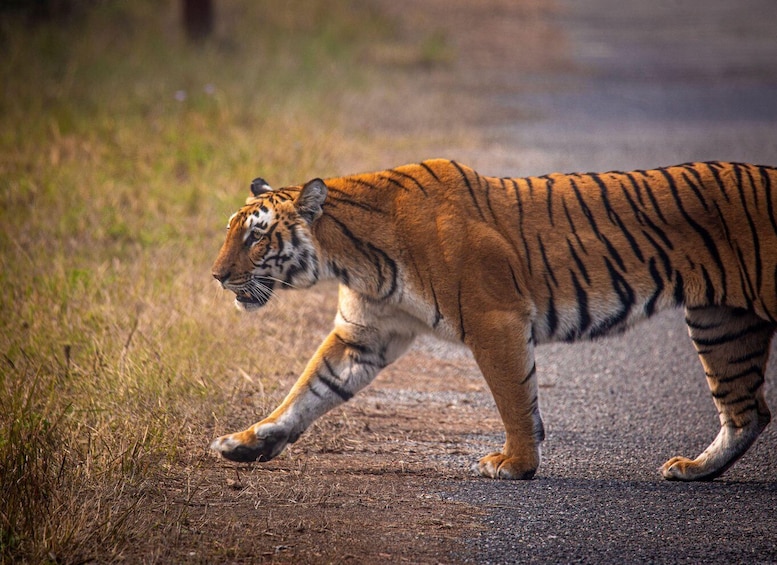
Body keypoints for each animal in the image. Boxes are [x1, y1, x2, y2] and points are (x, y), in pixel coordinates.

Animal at [210, 159, 777, 481]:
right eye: (231, 231)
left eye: (256, 237)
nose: (216, 276)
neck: (351, 256)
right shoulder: (363, 334)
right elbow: (307, 391)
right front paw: (247, 443)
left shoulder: (495, 319)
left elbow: (514, 399)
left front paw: (516, 465)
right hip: (722, 321)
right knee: (747, 411)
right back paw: (694, 471)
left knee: (747, 408)